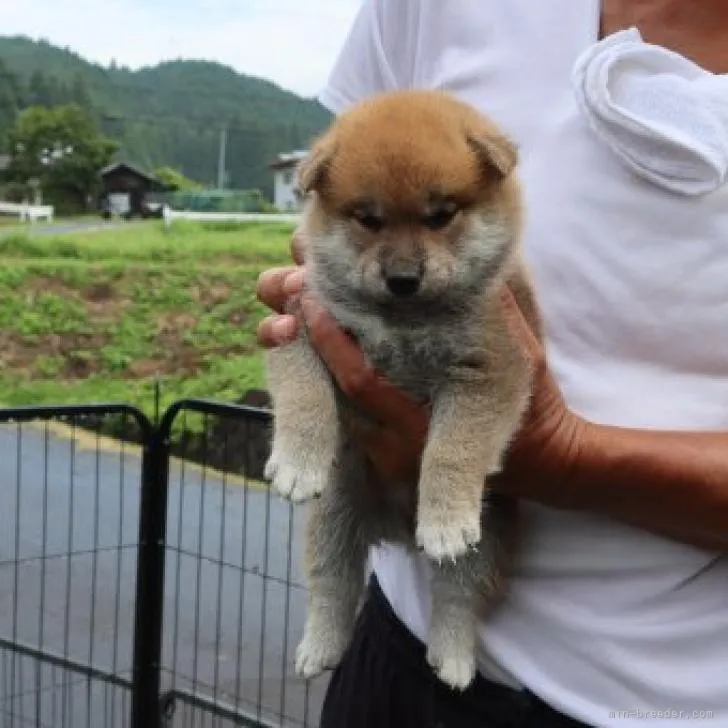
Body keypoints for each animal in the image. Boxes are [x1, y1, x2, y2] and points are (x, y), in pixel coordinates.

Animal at [264, 89, 536, 688]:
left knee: (458, 598)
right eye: (369, 219)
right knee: (333, 583)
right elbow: (304, 396)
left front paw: (444, 514)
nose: (404, 278)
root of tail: (396, 529)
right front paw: (297, 460)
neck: (405, 322)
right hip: (336, 514)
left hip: (486, 538)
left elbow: (452, 448)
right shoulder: (301, 323)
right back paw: (320, 647)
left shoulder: (489, 368)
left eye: (441, 216)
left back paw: (453, 657)